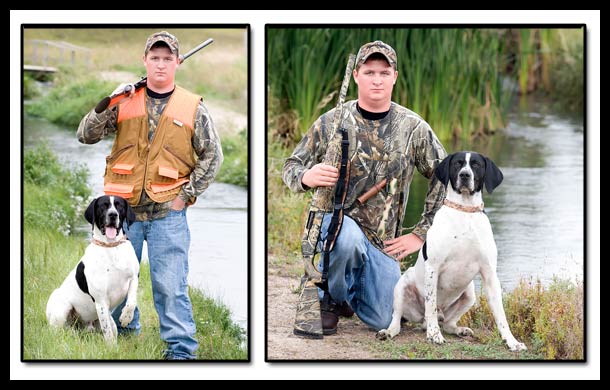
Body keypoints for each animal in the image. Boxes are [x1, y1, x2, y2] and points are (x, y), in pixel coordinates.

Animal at [46, 197, 139, 342]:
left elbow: (131, 302)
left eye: (119, 206)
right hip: (61, 305)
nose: (113, 215)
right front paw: (112, 347)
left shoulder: (134, 277)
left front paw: (126, 318)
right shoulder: (101, 301)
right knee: (56, 331)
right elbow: (108, 332)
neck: (111, 246)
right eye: (103, 206)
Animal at [376, 151, 524, 352]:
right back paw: (390, 332)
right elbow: (430, 304)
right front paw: (434, 335)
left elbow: (501, 315)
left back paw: (460, 330)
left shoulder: (490, 274)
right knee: (399, 319)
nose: (465, 175)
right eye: (457, 164)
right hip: (402, 286)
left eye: (476, 164)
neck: (465, 212)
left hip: (469, 294)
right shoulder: (433, 268)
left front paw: (512, 342)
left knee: (448, 323)